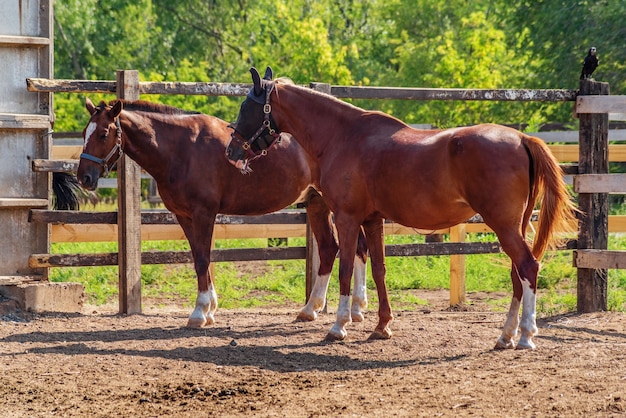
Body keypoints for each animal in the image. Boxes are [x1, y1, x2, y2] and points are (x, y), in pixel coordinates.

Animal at [75, 97, 368, 326]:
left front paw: (200, 311)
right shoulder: (184, 216)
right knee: (331, 249)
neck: (182, 148)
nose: (84, 177)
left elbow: (204, 259)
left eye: (103, 134)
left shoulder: (204, 213)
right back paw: (313, 309)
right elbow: (198, 257)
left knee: (354, 248)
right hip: (316, 205)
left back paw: (353, 308)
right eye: (84, 133)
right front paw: (210, 308)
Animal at [224, 68, 576, 350]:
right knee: (518, 274)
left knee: (528, 267)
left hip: (503, 226)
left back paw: (526, 335)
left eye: (246, 106)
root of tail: (522, 138)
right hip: (514, 227)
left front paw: (339, 326)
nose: (231, 151)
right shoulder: (372, 220)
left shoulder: (347, 218)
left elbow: (345, 267)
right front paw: (382, 325)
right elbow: (379, 269)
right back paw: (506, 335)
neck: (344, 136)